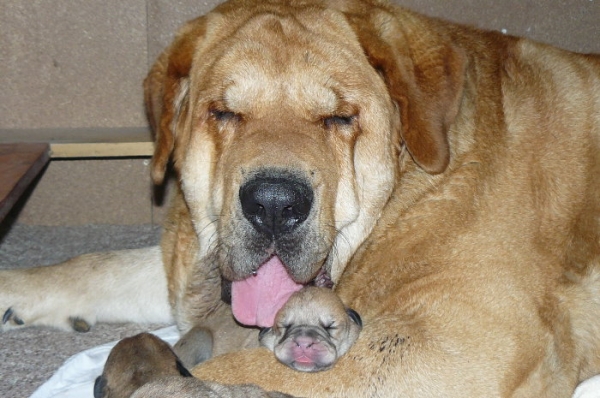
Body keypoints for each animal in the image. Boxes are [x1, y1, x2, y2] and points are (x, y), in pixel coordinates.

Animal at [1, 0, 600, 396]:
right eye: (224, 113)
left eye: (338, 118)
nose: (272, 204)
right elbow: (96, 264)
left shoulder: (452, 344)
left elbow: (233, 372)